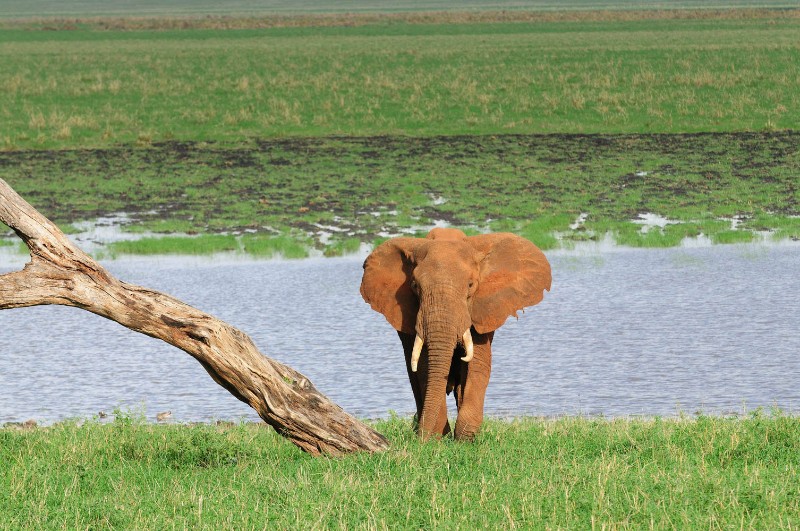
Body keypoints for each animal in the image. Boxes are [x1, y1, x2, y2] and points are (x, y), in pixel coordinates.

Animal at [360, 227, 551, 440]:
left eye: (470, 285)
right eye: (415, 286)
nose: (419, 440)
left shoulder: (480, 310)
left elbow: (477, 365)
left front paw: (464, 439)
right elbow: (425, 367)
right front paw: (437, 438)